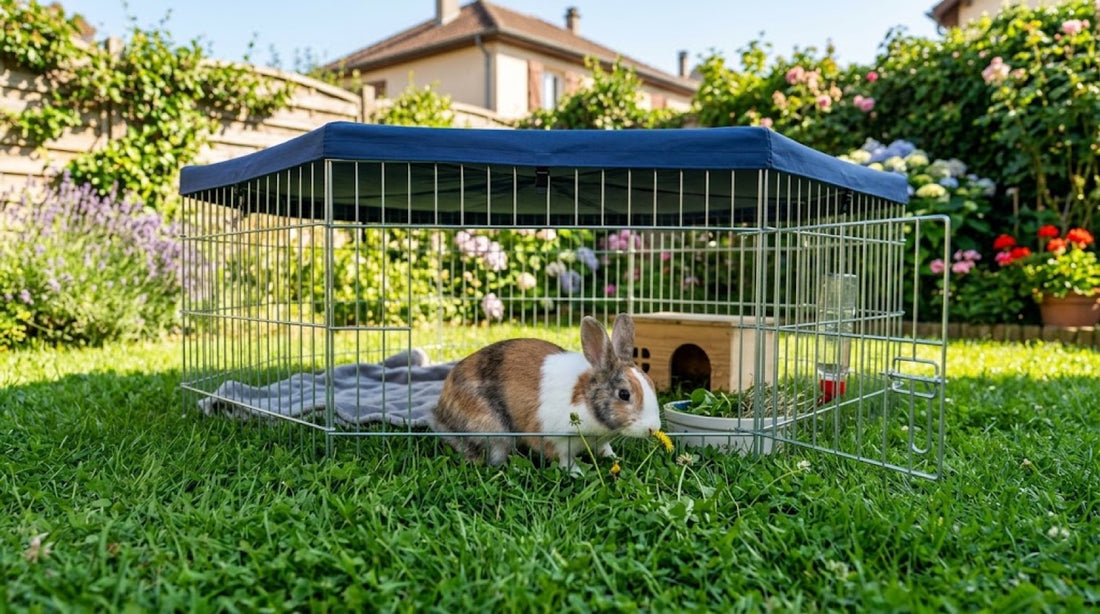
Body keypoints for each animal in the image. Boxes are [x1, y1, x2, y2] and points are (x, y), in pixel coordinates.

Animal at [429, 313, 662, 472]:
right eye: (624, 394)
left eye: (650, 383)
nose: (653, 428)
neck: (586, 398)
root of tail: (440, 415)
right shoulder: (554, 439)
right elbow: (564, 459)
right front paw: (577, 473)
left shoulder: (600, 440)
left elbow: (605, 448)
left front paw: (615, 459)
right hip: (495, 434)